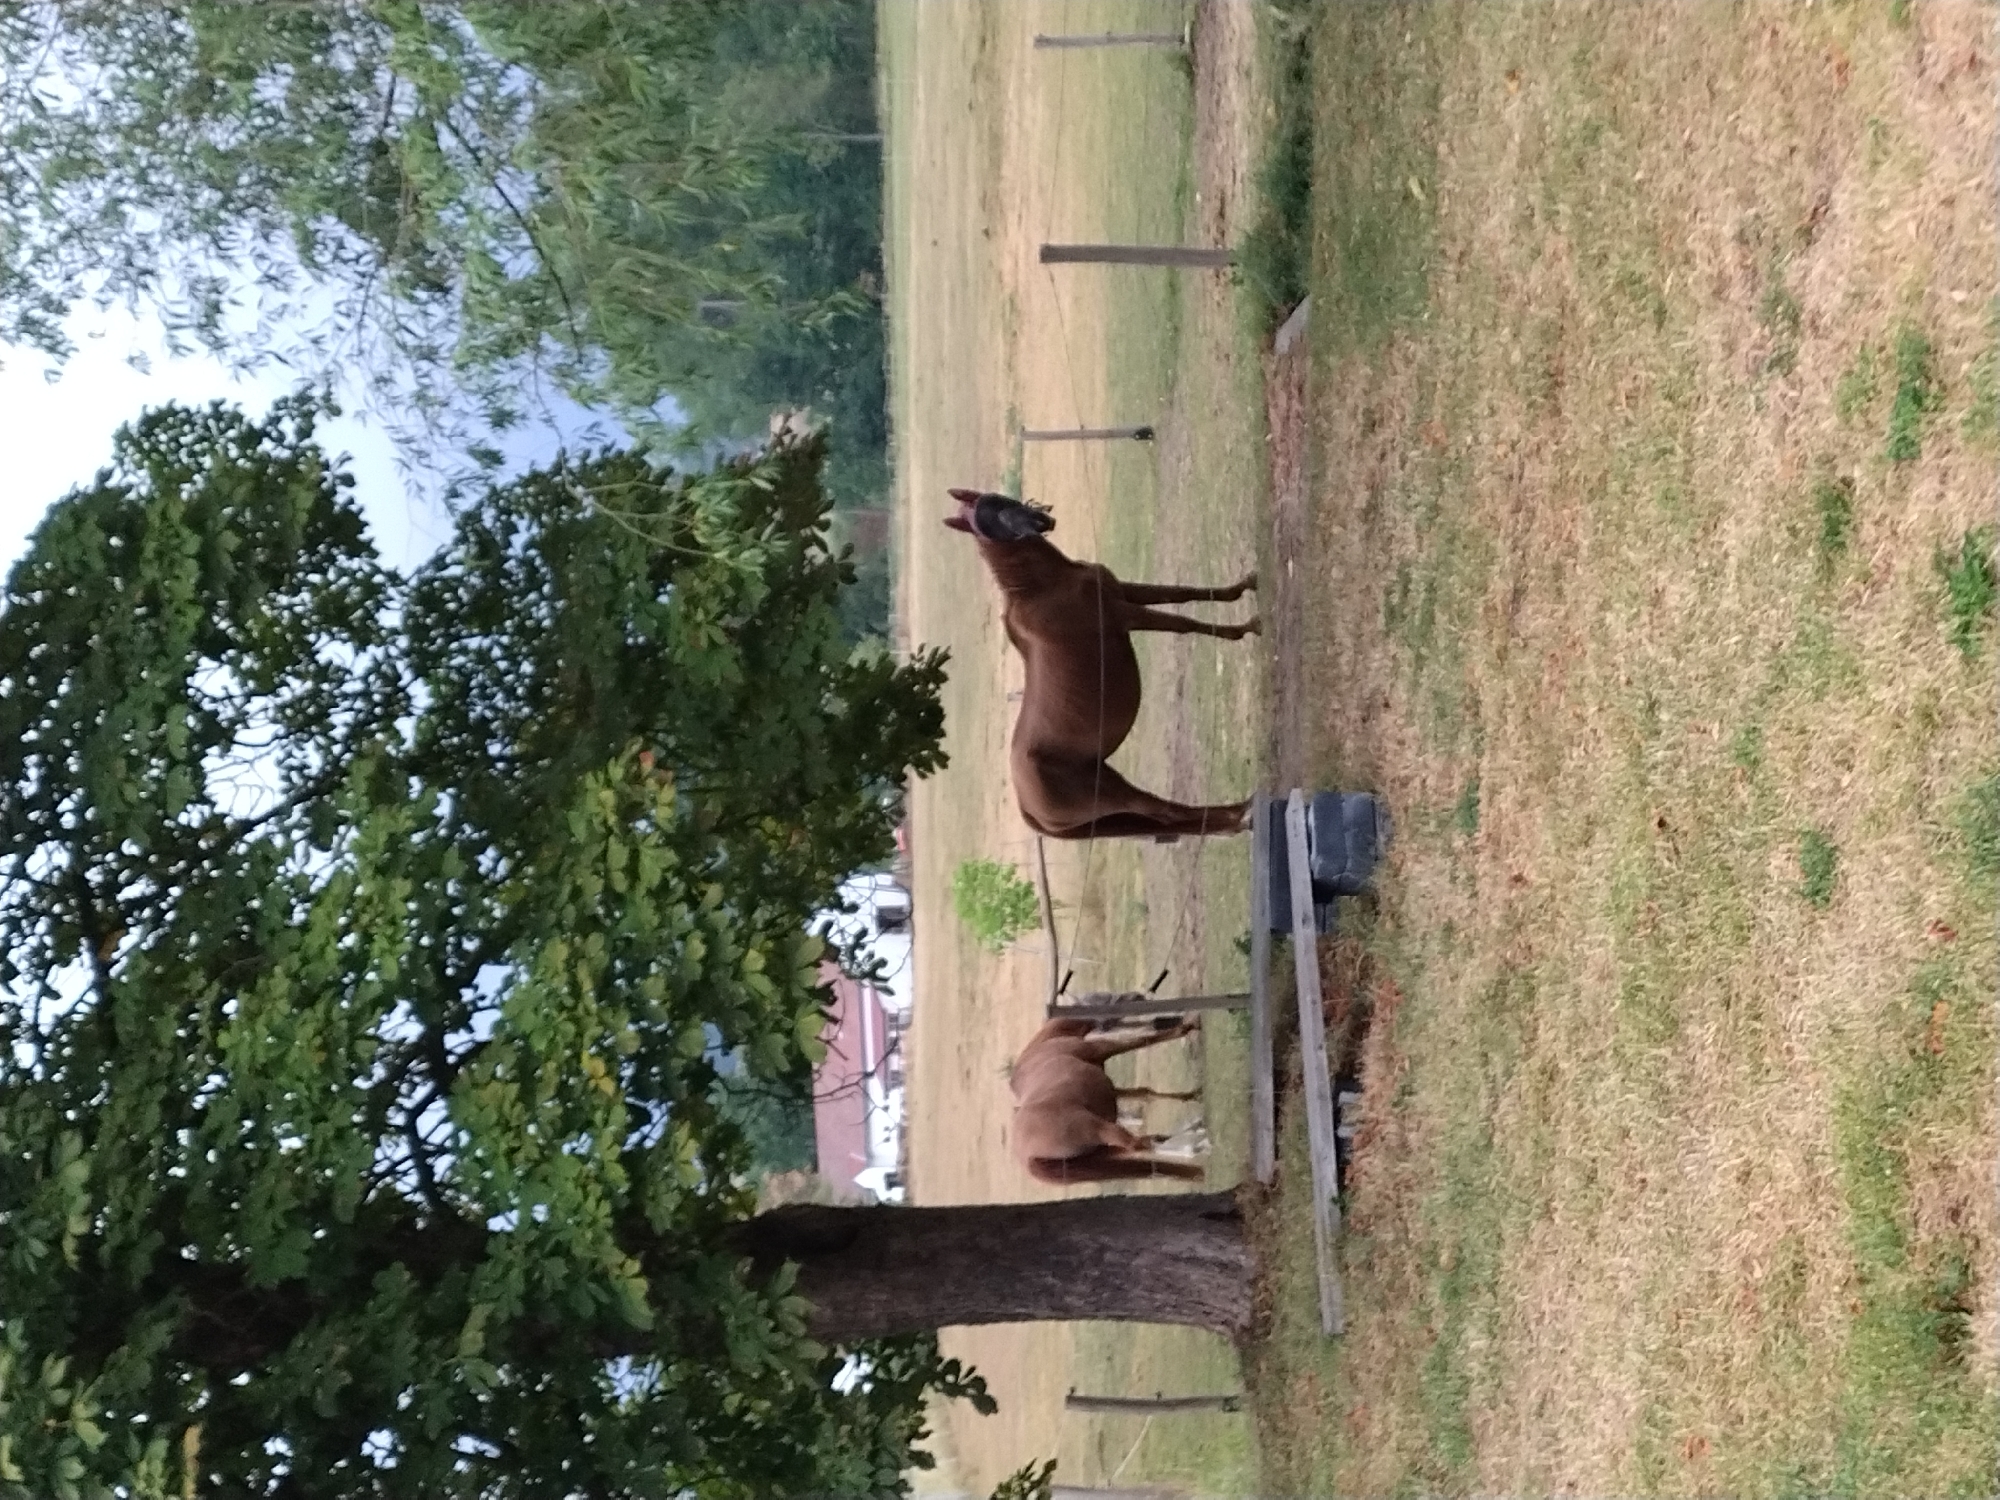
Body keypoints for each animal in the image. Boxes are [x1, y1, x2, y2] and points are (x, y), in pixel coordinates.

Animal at [945, 488, 1260, 841]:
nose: (1039, 521)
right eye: (985, 522)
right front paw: (1247, 627)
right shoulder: (1124, 614)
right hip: (1110, 794)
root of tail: (1028, 809)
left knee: (1173, 817)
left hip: (1107, 783)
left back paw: (1243, 813)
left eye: (997, 500)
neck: (1044, 587)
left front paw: (1244, 585)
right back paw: (1242, 813)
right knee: (1167, 812)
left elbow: (1184, 593)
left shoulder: (1126, 592)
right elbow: (1185, 623)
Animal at [1009, 1015, 1209, 1184]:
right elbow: (1144, 1041)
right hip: (1100, 1128)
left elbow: (1146, 1094)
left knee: (1141, 1145)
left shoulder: (1112, 1088)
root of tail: (1027, 1157)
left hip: (1101, 1152)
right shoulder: (1103, 1048)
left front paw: (1196, 1096)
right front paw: (1189, 1025)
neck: (1042, 1048)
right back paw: (1195, 1145)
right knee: (1139, 1145)